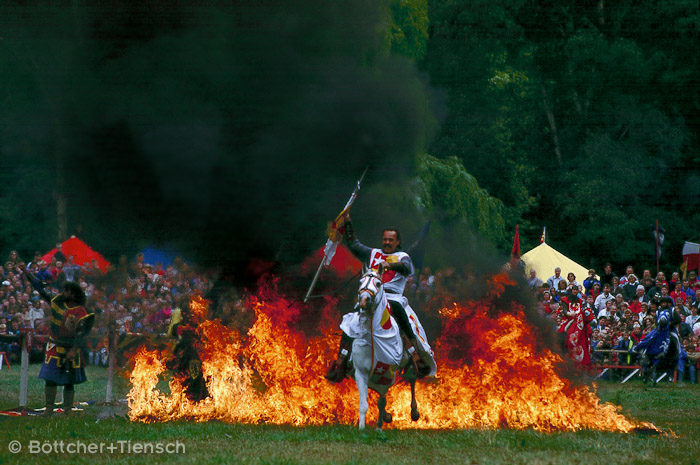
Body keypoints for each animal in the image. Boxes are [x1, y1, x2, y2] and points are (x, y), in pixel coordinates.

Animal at [340, 266, 422, 430]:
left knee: (412, 379)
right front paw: (362, 428)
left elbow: (382, 401)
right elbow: (364, 404)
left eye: (378, 283)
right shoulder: (361, 372)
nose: (364, 300)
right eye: (360, 281)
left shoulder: (388, 373)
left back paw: (414, 411)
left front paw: (380, 425)